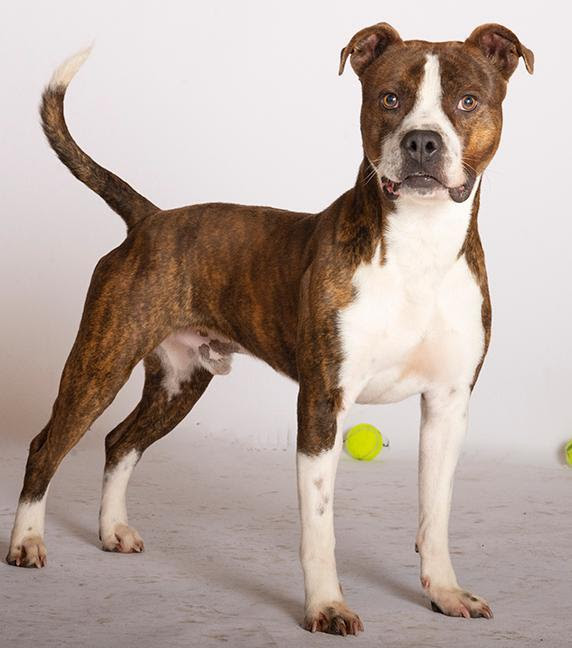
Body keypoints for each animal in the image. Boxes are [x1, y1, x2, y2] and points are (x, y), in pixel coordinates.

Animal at [6, 21, 532, 636]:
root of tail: (149, 219)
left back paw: (111, 530)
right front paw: (326, 607)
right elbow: (320, 528)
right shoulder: (323, 402)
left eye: (467, 101)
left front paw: (445, 593)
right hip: (100, 363)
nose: (421, 141)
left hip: (180, 383)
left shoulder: (447, 405)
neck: (417, 248)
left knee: (120, 441)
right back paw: (26, 541)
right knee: (47, 445)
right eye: (390, 99)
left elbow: (436, 514)